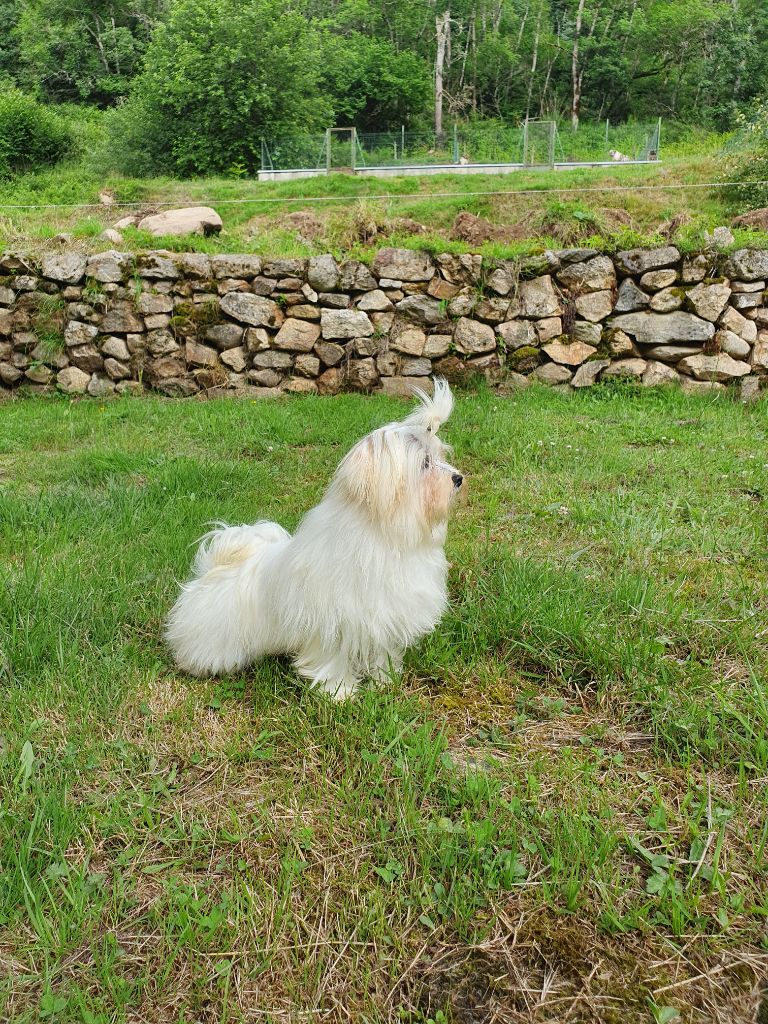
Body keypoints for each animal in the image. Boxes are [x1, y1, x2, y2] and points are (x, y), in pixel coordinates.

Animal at [166, 380, 462, 700]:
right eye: (425, 463)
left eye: (442, 457)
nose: (458, 478)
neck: (385, 536)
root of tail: (215, 568)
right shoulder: (333, 622)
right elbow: (333, 659)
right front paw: (339, 693)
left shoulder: (384, 617)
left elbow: (382, 652)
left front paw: (385, 680)